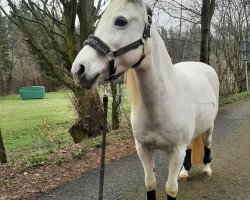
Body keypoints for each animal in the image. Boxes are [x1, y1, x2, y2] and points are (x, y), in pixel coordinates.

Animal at [71, 0, 219, 199]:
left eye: (121, 21)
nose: (78, 69)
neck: (161, 104)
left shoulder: (176, 151)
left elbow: (171, 188)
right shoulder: (143, 149)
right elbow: (150, 184)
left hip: (209, 127)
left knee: (207, 144)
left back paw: (207, 169)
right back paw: (185, 172)